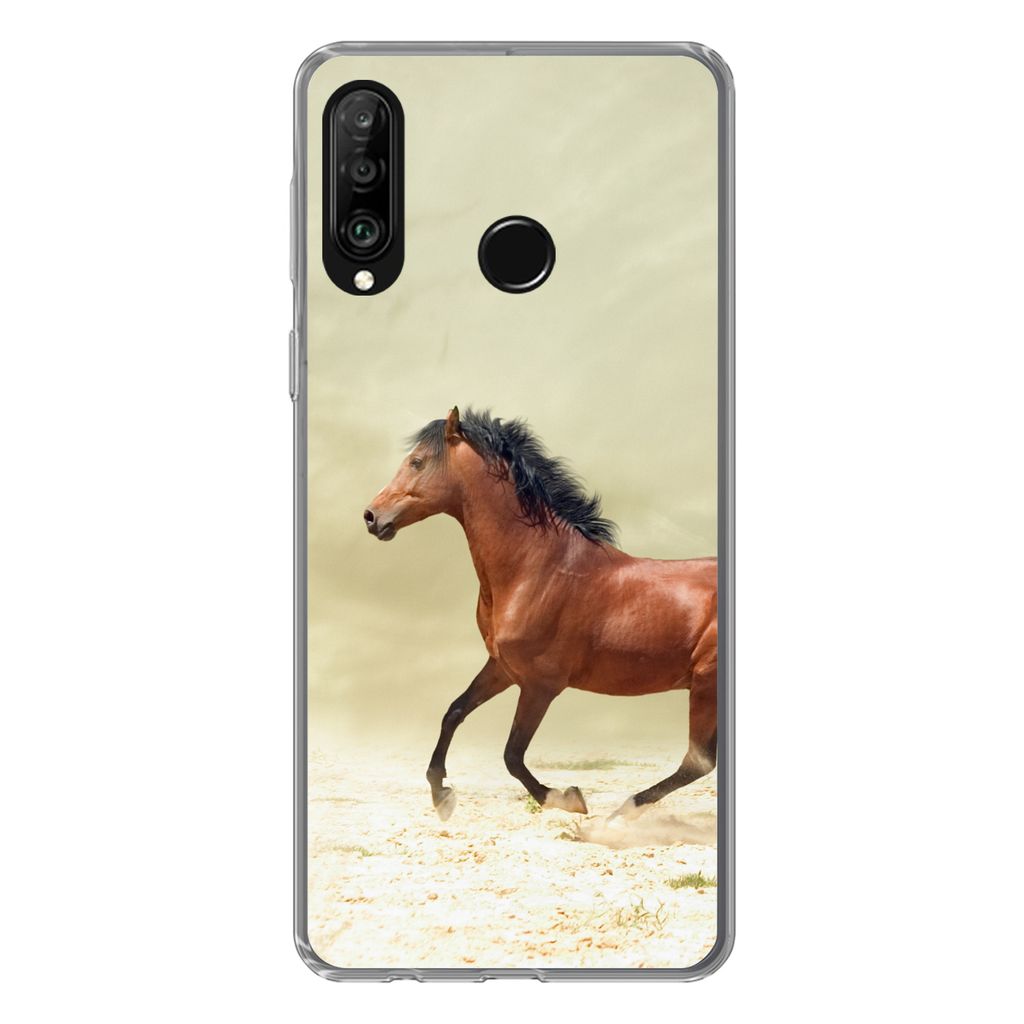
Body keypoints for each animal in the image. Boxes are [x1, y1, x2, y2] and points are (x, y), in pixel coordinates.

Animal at [363, 407, 718, 821]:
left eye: (417, 462)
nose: (371, 516)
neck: (537, 568)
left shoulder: (540, 685)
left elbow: (512, 755)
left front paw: (565, 798)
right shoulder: (502, 667)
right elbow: (454, 711)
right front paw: (441, 794)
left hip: (705, 685)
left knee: (697, 762)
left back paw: (621, 812)